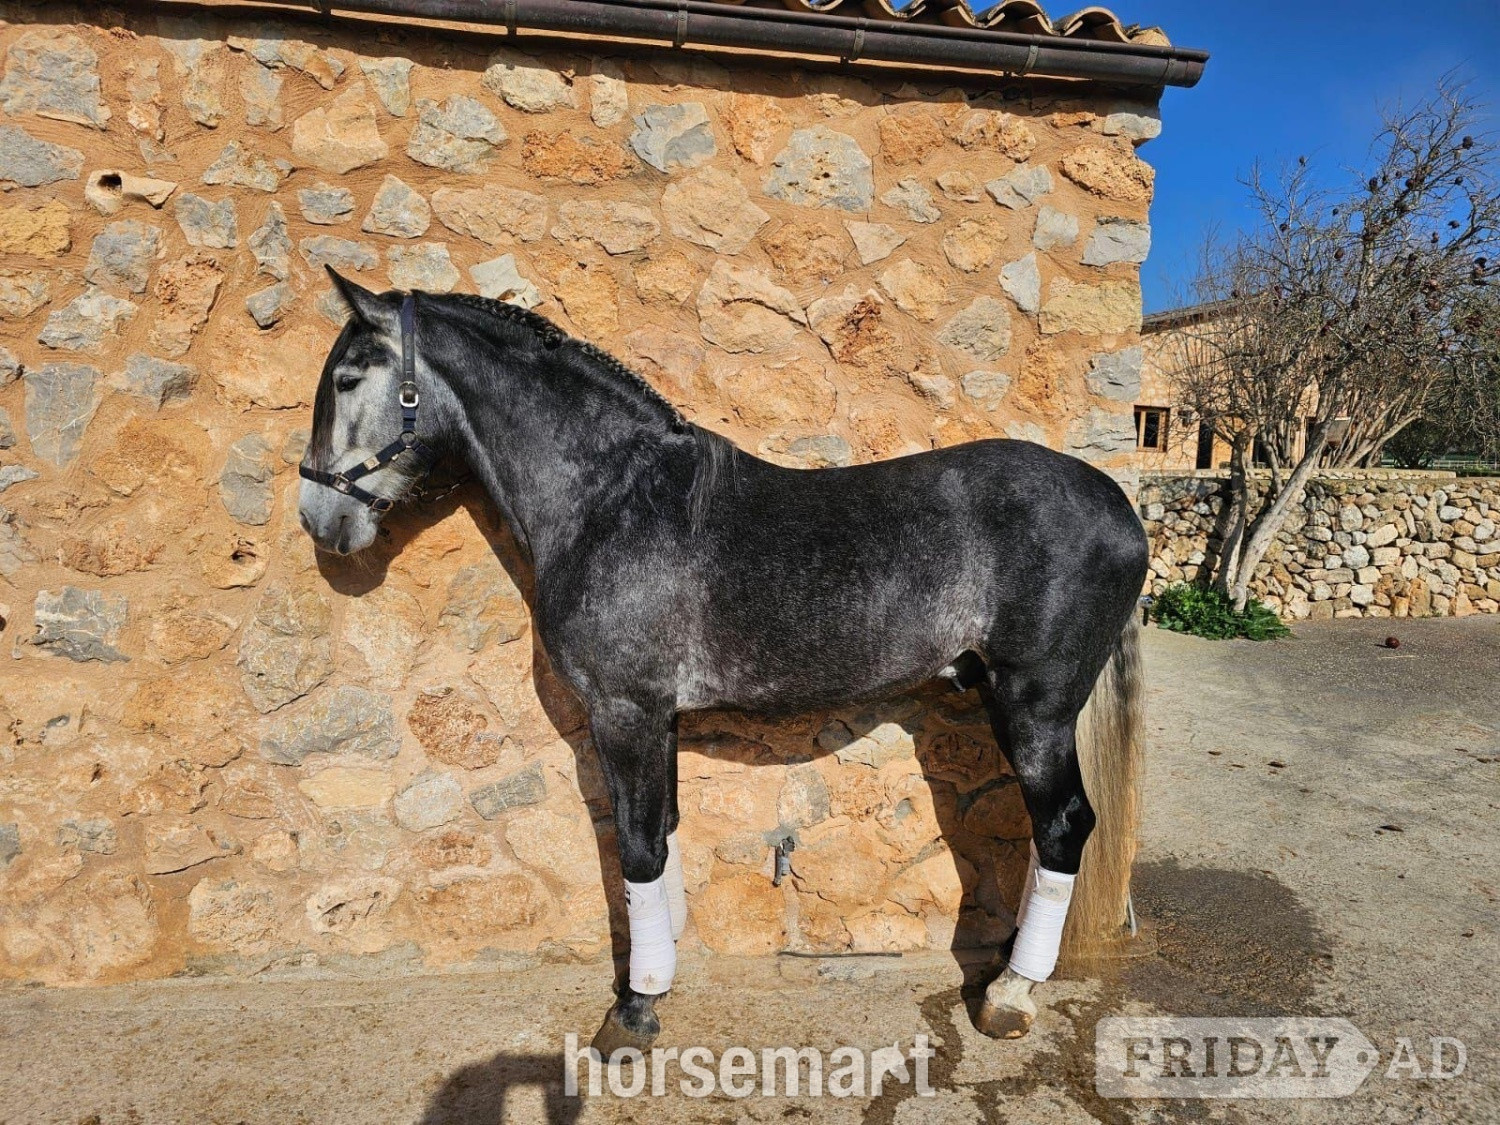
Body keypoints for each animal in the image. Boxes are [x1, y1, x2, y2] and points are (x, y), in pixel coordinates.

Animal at [298, 270, 1149, 1056]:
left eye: (346, 380)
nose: (316, 516)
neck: (610, 498)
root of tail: (1117, 504)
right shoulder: (657, 715)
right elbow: (665, 830)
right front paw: (665, 960)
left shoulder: (625, 710)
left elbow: (638, 843)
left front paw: (636, 1005)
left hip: (1033, 707)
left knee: (1064, 824)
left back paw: (1010, 993)